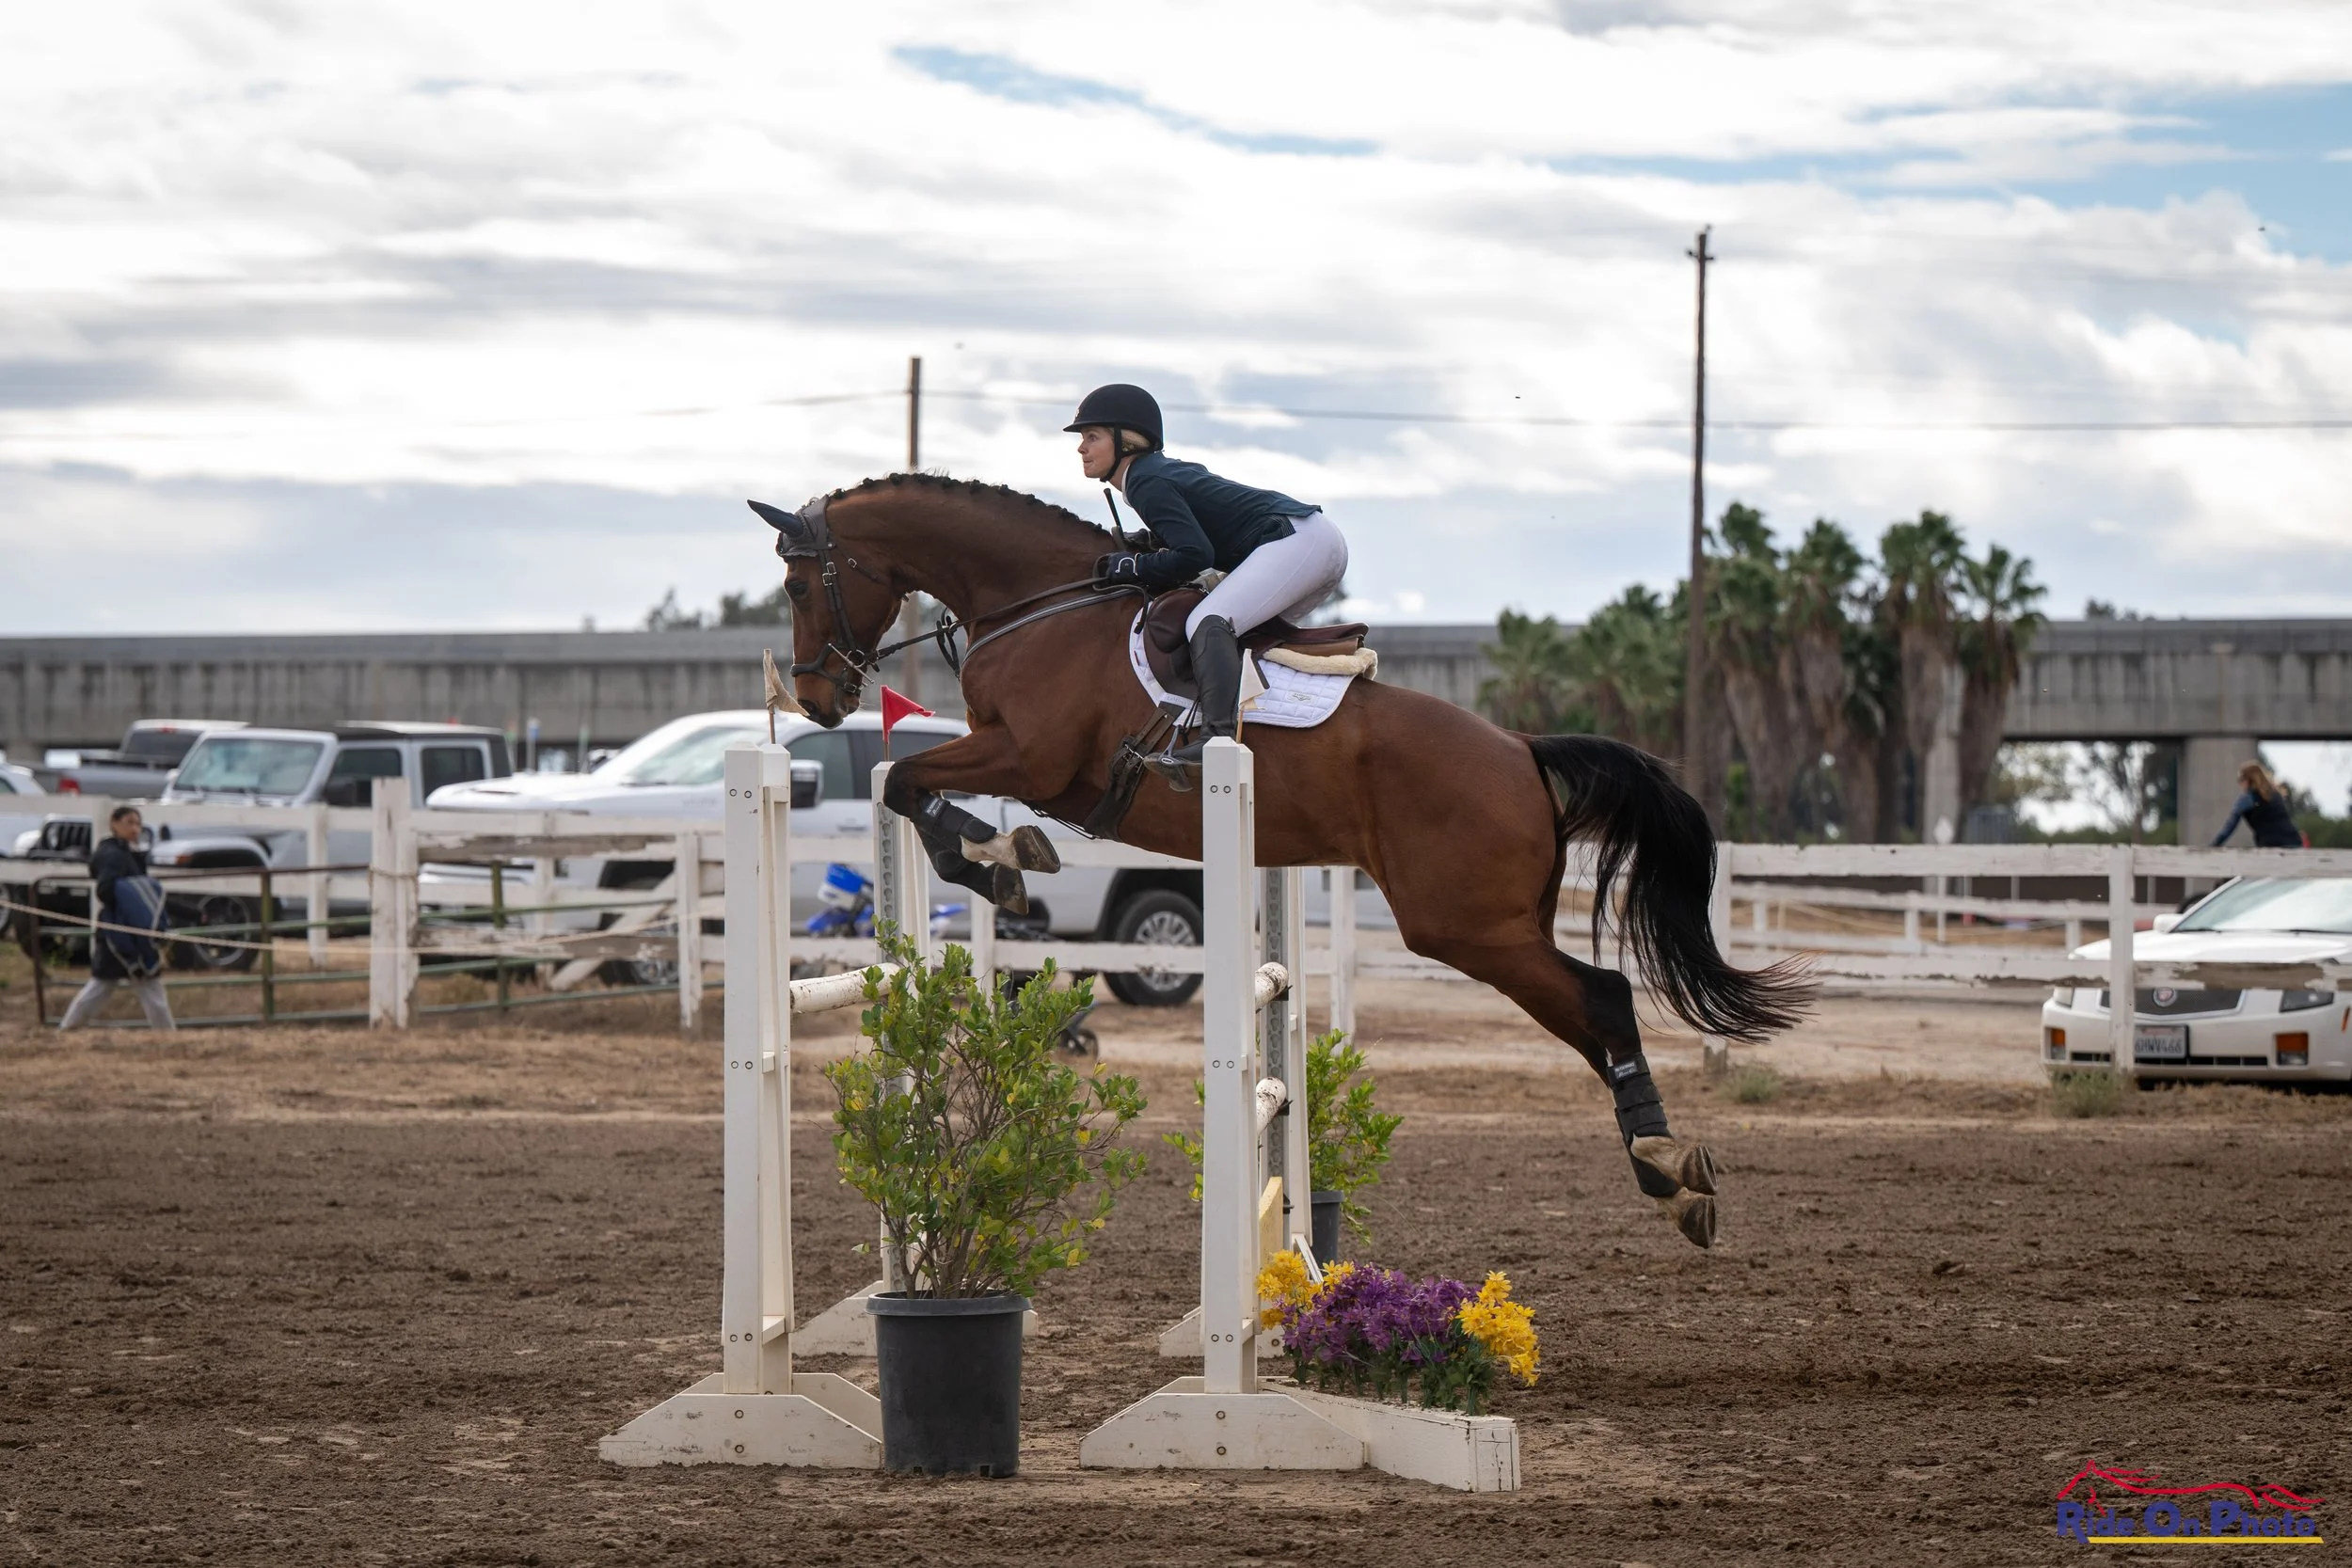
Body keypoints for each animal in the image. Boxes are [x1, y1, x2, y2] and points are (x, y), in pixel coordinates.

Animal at [753, 473, 1811, 1248]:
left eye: (800, 585)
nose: (817, 698)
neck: (1038, 603)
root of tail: (1520, 748)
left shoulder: (1036, 759)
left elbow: (905, 778)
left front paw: (995, 854)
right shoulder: (1018, 759)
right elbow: (907, 780)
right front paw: (1002, 853)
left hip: (1466, 924)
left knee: (1603, 998)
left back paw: (1667, 1167)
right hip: (1490, 920)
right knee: (1596, 1006)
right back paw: (1673, 1171)